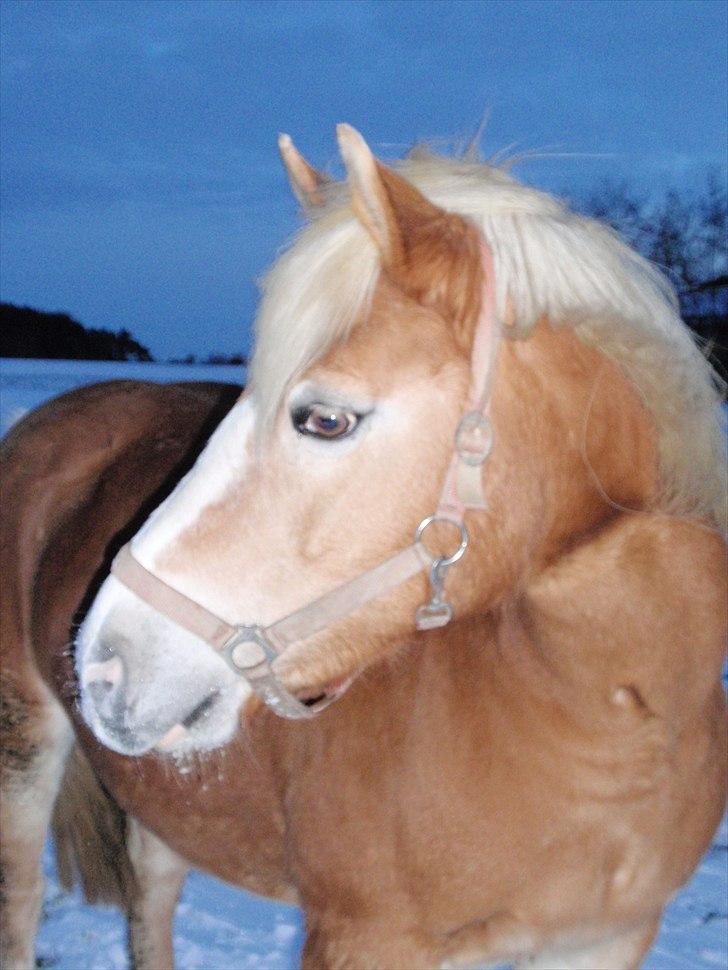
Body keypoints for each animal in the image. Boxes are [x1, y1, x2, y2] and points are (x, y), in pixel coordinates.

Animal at [1, 123, 728, 968]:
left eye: (325, 419)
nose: (104, 662)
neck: (614, 720)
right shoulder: (364, 938)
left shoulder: (608, 939)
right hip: (22, 753)